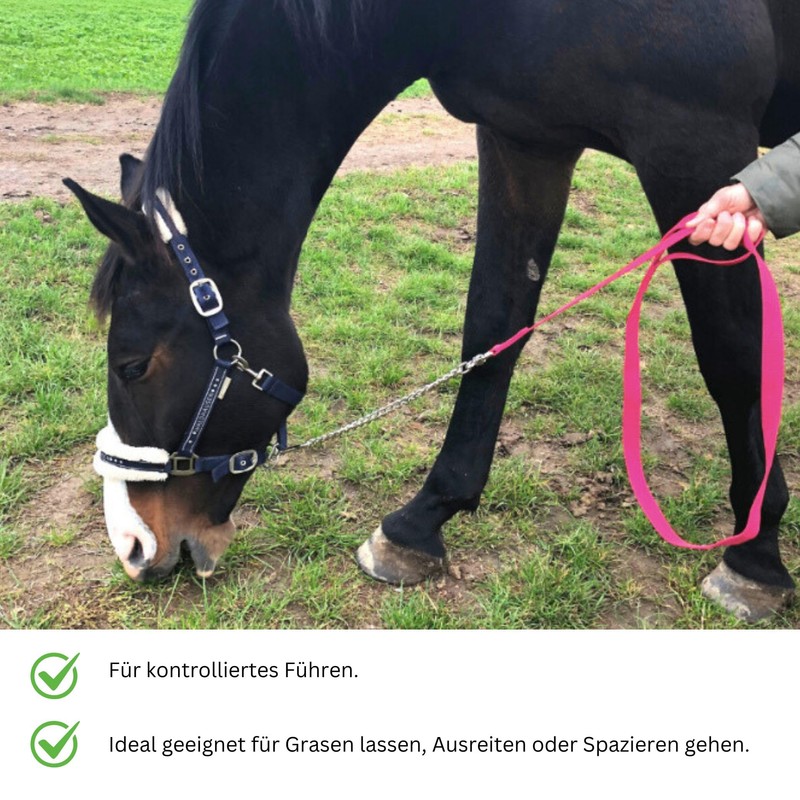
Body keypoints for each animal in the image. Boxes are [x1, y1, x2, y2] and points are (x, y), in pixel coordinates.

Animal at [65, 0, 799, 621]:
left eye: (131, 366)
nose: (130, 545)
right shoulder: (523, 140)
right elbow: (494, 332)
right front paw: (420, 522)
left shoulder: (695, 144)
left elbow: (735, 359)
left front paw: (756, 557)